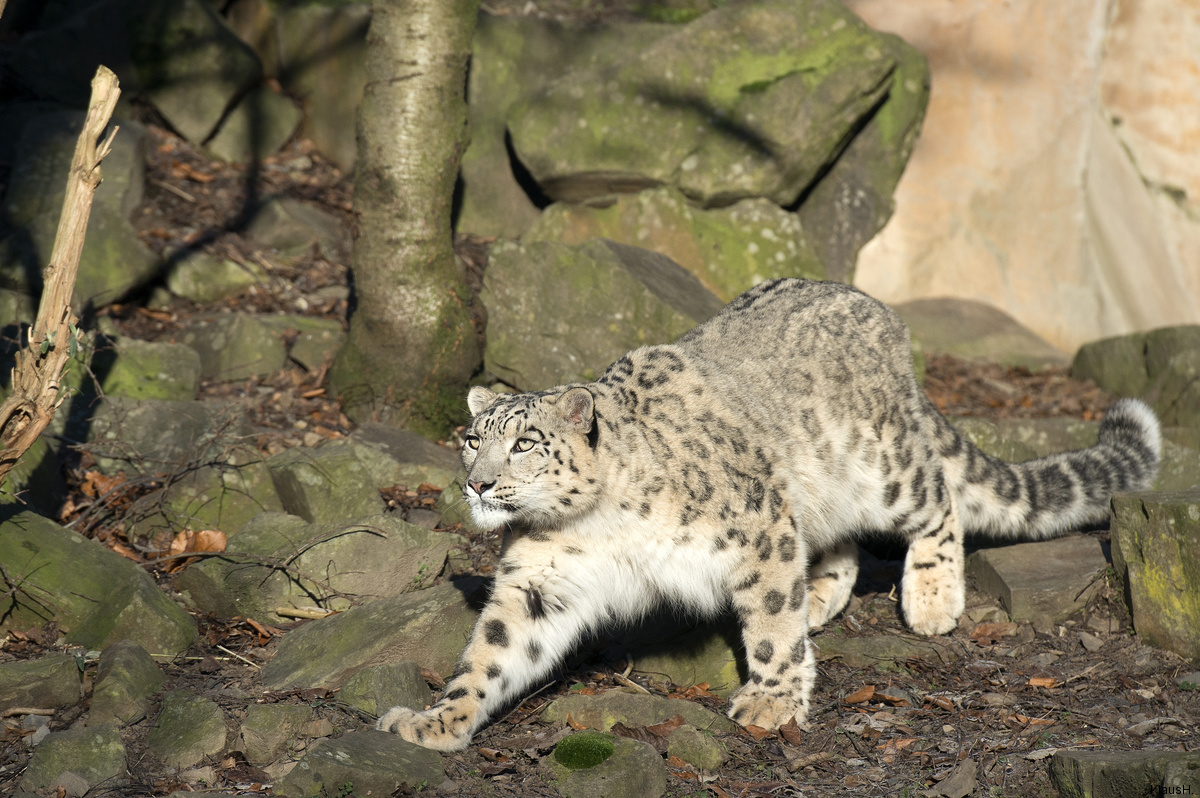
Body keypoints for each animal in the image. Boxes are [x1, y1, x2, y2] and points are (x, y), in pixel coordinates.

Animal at [376, 277, 1161, 748]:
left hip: (883, 468)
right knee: (836, 543)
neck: (598, 524)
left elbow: (772, 624)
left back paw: (932, 598)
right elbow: (494, 650)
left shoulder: (755, 524)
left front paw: (773, 699)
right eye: (471, 439)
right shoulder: (542, 580)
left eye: (525, 444)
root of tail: (880, 312)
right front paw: (435, 719)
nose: (478, 484)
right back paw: (821, 596)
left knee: (936, 502)